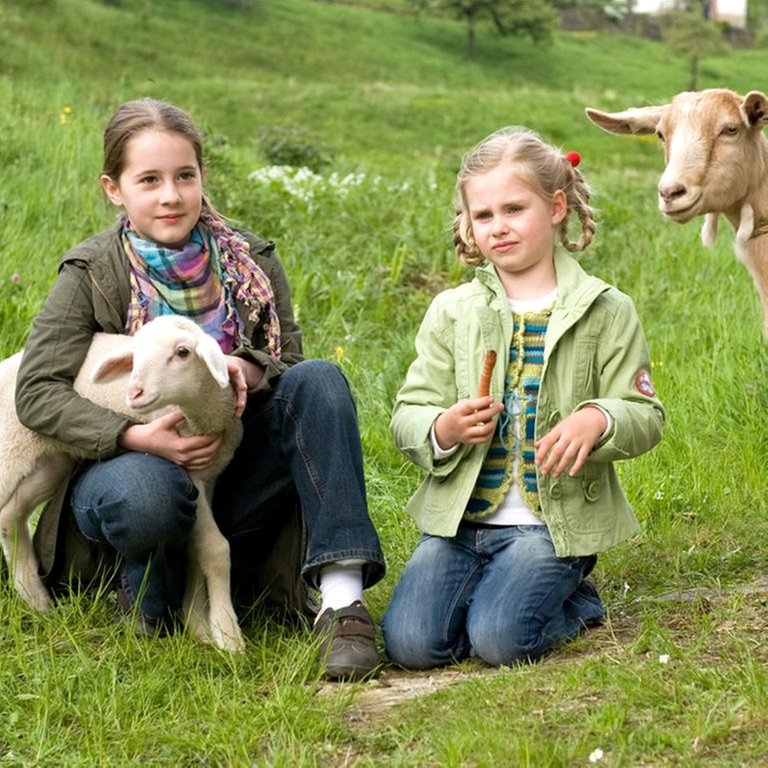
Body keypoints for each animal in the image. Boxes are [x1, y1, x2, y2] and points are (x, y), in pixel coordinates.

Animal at [0, 316, 246, 652]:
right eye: (135, 354)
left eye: (183, 352)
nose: (135, 392)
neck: (203, 417)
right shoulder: (188, 470)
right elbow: (215, 549)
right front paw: (228, 636)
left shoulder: (209, 476)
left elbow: (197, 551)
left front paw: (199, 627)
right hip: (9, 450)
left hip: (51, 460)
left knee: (10, 516)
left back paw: (35, 601)